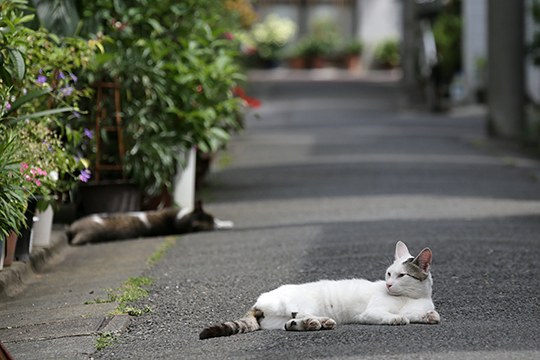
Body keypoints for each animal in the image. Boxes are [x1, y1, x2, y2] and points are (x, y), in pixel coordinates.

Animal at [200, 240, 440, 338]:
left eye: (402, 275)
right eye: (389, 274)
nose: (389, 284)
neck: (410, 298)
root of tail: (258, 301)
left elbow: (422, 314)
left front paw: (429, 316)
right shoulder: (371, 312)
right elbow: (391, 316)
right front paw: (397, 319)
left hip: (279, 320)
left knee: (289, 323)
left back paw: (314, 323)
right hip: (304, 302)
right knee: (298, 313)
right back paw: (317, 321)